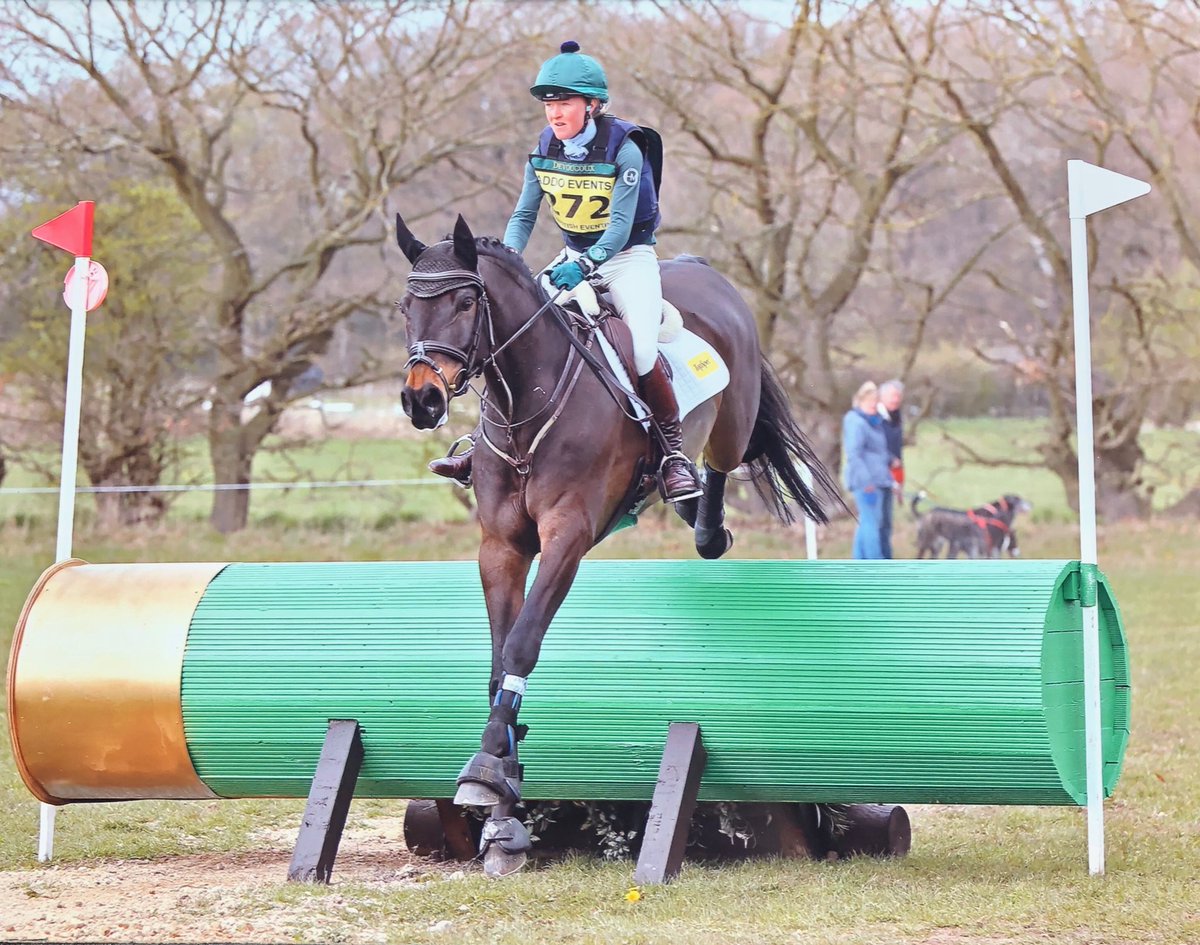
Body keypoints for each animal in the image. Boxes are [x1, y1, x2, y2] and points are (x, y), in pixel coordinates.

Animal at [395, 213, 841, 876]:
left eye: (466, 301)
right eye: (407, 307)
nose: (421, 399)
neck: (525, 400)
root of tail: (703, 270)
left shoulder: (567, 536)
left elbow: (524, 642)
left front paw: (489, 768)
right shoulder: (501, 546)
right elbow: (500, 656)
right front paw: (502, 792)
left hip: (733, 420)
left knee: (721, 462)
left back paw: (700, 513)